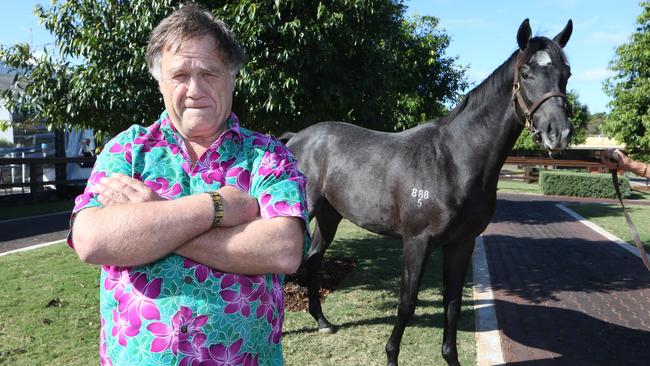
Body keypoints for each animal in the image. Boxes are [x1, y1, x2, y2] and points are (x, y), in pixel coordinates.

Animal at [284, 20, 572, 366]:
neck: (453, 159)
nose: (558, 133)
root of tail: (296, 138)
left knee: (314, 259)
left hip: (330, 214)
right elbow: (407, 304)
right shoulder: (416, 243)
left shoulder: (461, 244)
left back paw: (323, 322)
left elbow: (452, 304)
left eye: (566, 73)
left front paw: (451, 358)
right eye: (526, 73)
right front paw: (391, 356)